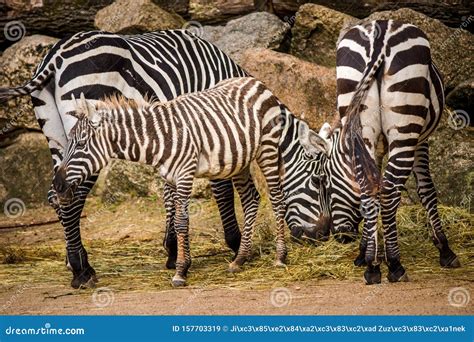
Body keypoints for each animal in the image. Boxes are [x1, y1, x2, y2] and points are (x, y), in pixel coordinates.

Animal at [51, 77, 288, 286]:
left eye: (81, 144)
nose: (58, 185)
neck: (159, 138)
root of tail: (254, 81)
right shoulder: (170, 177)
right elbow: (175, 222)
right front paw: (184, 264)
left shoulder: (185, 173)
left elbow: (181, 221)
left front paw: (180, 272)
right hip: (240, 160)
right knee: (251, 200)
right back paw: (240, 259)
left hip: (267, 147)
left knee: (277, 199)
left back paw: (280, 257)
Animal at [300, 20, 460, 284]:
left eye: (324, 183)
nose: (339, 237)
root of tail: (380, 35)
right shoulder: (420, 139)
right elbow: (426, 190)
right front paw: (444, 249)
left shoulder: (376, 145)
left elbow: (373, 190)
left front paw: (367, 253)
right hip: (405, 125)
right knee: (390, 191)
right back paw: (395, 265)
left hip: (359, 113)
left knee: (369, 189)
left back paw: (373, 266)